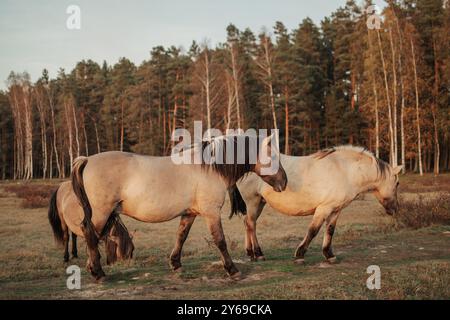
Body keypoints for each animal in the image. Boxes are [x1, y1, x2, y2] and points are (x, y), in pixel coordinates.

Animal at [70, 133, 288, 280]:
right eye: (273, 157)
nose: (284, 182)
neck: (209, 168)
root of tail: (87, 159)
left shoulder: (189, 213)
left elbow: (181, 236)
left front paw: (175, 264)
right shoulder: (211, 213)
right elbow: (220, 241)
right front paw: (232, 269)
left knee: (91, 235)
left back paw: (93, 268)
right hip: (101, 212)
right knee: (89, 233)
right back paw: (97, 272)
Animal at [230, 146, 402, 264]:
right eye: (397, 183)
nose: (395, 210)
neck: (345, 171)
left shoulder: (335, 210)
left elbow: (330, 231)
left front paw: (329, 255)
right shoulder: (323, 208)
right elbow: (313, 230)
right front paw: (299, 255)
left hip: (259, 203)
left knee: (248, 223)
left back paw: (250, 253)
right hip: (252, 202)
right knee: (251, 224)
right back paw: (258, 253)